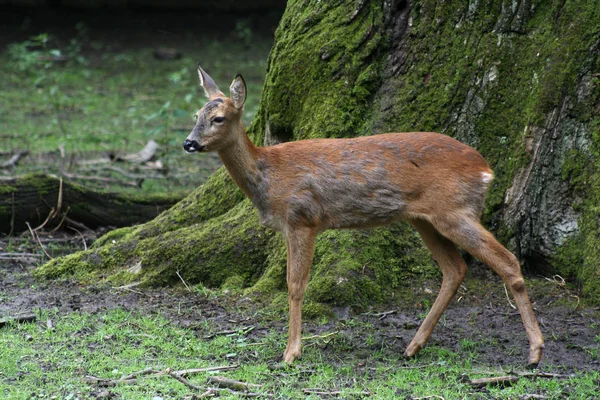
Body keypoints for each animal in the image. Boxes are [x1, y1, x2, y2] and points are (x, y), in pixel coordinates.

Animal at [183, 65, 544, 366]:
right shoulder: (292, 225)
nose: (189, 142)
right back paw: (413, 346)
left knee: (507, 260)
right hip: (425, 218)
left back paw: (535, 352)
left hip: (455, 210)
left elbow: (295, 285)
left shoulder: (303, 218)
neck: (269, 176)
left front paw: (290, 353)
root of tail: (486, 170)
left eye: (219, 118)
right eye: (196, 114)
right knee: (455, 269)